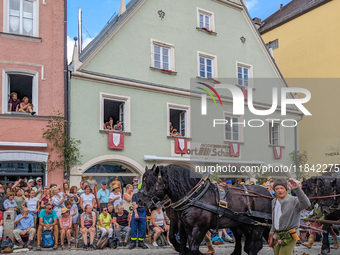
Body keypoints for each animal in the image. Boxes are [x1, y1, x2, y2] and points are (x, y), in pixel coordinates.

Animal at [138, 165, 270, 255]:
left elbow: (193, 248)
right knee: (241, 238)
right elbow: (180, 240)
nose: (140, 201)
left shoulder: (199, 228)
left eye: (150, 182)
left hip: (258, 226)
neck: (195, 196)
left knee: (254, 245)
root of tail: (267, 193)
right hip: (240, 223)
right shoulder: (183, 225)